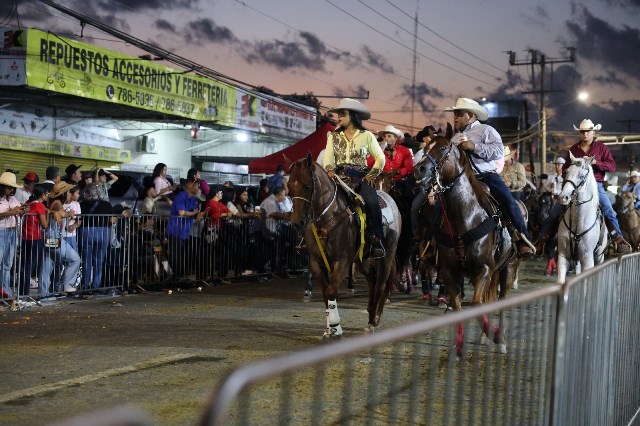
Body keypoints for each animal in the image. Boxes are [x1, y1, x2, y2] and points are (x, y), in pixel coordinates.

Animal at [286, 153, 400, 336]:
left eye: (307, 185)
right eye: (289, 186)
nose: (297, 222)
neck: (327, 217)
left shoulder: (342, 260)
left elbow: (332, 290)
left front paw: (334, 326)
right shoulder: (317, 262)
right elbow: (326, 293)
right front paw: (330, 327)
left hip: (387, 254)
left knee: (382, 284)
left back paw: (374, 320)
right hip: (362, 259)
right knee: (372, 280)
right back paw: (370, 314)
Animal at [416, 128, 520, 354]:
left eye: (443, 148)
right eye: (426, 147)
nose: (419, 169)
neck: (466, 218)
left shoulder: (484, 269)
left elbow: (475, 304)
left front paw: (496, 335)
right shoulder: (449, 271)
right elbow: (458, 307)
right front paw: (459, 344)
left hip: (508, 266)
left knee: (502, 300)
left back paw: (501, 340)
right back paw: (484, 337)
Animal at [556, 153, 608, 282]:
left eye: (582, 176)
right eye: (566, 171)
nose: (563, 197)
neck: (578, 222)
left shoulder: (587, 259)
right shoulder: (563, 256)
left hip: (599, 257)